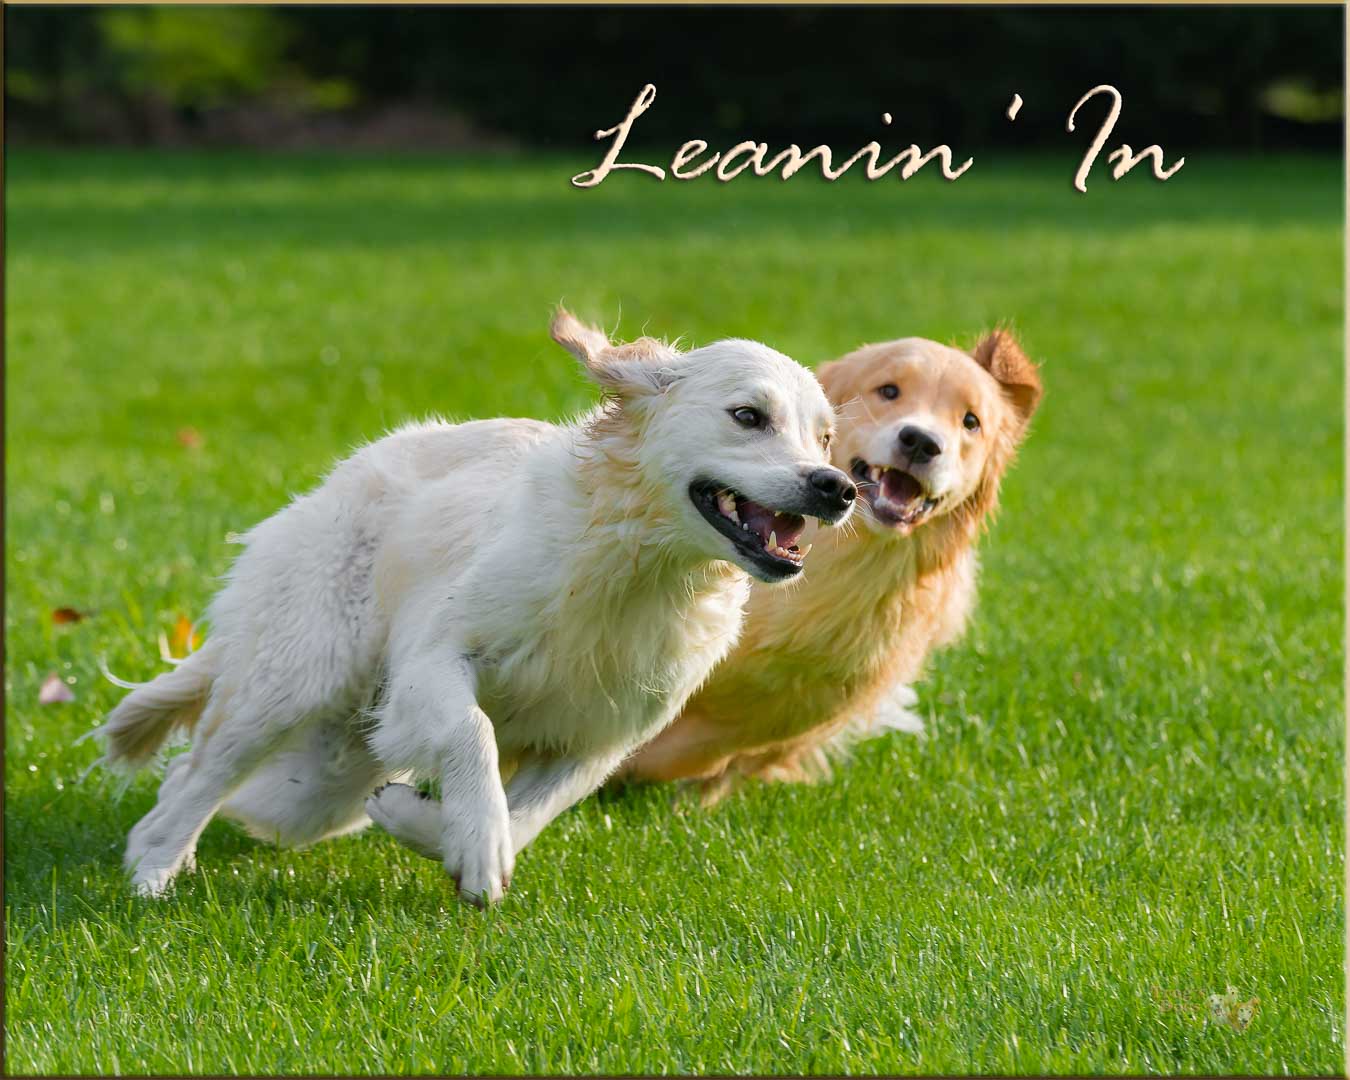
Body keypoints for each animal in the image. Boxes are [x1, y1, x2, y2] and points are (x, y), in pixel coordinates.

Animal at [97, 306, 853, 901]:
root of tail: (327, 487)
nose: (837, 488)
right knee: (197, 776)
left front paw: (436, 830)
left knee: (231, 792)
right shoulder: (434, 658)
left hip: (323, 782)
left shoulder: (596, 741)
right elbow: (474, 733)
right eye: (747, 416)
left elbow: (532, 813)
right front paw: (478, 844)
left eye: (824, 438)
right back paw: (154, 874)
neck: (636, 571)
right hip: (292, 682)